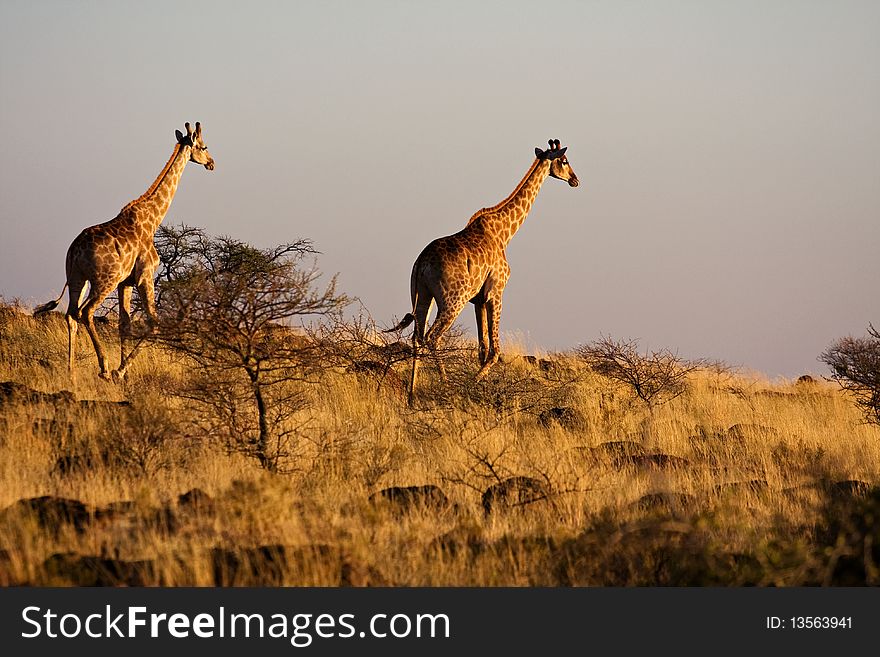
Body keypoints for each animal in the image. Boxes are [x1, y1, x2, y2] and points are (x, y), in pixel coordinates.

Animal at [33, 120, 216, 382]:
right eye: (203, 146)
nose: (212, 163)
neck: (153, 220)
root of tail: (74, 250)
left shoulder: (125, 282)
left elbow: (125, 324)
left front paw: (124, 373)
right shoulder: (144, 276)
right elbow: (153, 322)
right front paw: (120, 371)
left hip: (77, 277)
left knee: (71, 315)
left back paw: (71, 371)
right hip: (103, 280)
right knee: (86, 312)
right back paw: (104, 367)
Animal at [384, 140, 576, 400]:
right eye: (564, 161)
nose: (576, 180)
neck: (505, 233)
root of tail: (420, 263)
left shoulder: (478, 300)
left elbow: (482, 348)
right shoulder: (496, 292)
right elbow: (494, 350)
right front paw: (472, 384)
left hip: (423, 295)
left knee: (417, 337)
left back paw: (412, 393)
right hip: (453, 299)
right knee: (433, 337)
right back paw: (445, 385)